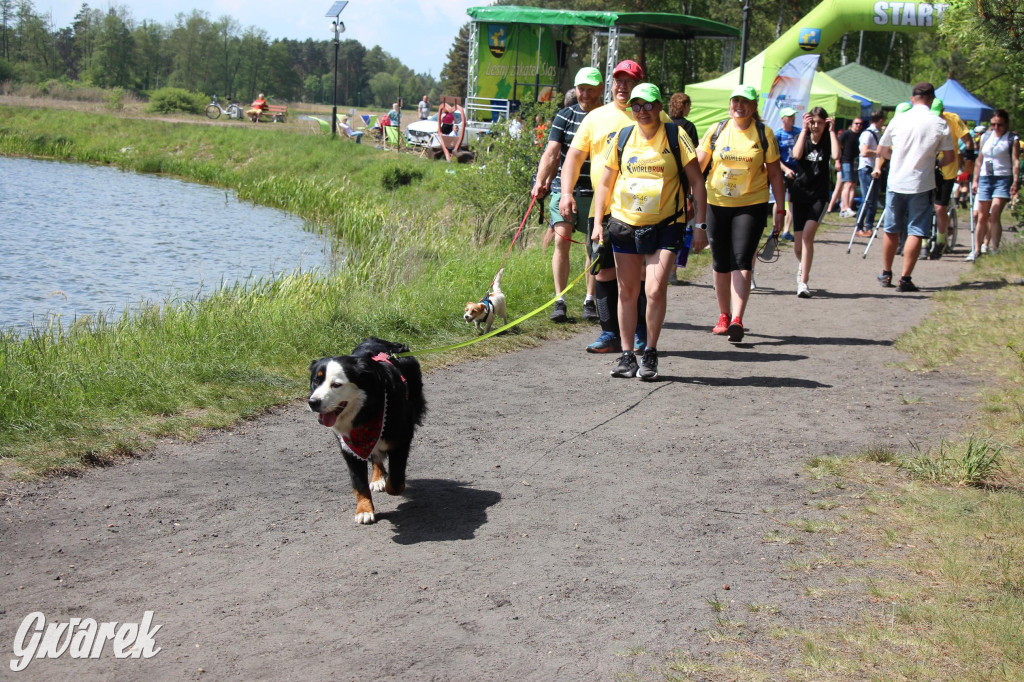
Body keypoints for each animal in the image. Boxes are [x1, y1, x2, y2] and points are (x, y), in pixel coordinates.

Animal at [307, 337, 428, 522]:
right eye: (316, 381)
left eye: (336, 384)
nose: (313, 402)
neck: (365, 412)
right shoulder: (349, 447)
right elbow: (359, 483)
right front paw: (364, 510)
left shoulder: (401, 439)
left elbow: (396, 481)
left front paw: (390, 485)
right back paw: (377, 478)